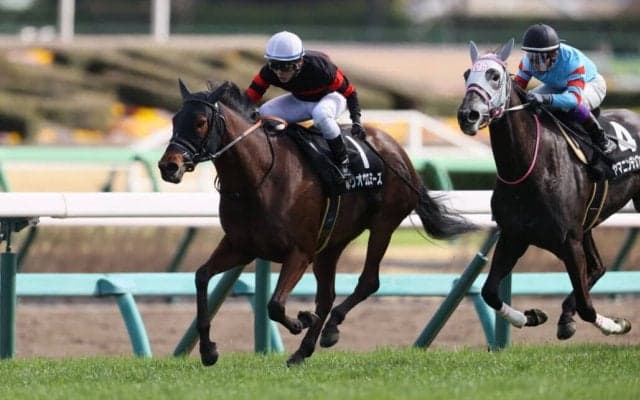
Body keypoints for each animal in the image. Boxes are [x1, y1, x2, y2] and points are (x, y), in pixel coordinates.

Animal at [158, 79, 476, 366]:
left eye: (200, 122)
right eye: (174, 119)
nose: (168, 166)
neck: (259, 177)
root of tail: (398, 151)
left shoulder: (299, 252)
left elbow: (274, 305)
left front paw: (301, 320)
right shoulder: (241, 246)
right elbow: (201, 277)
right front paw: (208, 350)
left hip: (383, 225)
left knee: (368, 281)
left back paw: (330, 327)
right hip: (331, 244)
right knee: (327, 295)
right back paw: (304, 349)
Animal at [457, 38, 637, 340]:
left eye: (494, 76)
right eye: (466, 74)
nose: (467, 115)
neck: (528, 167)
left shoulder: (569, 241)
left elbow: (587, 307)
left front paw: (616, 324)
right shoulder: (514, 236)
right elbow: (489, 292)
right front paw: (530, 316)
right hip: (587, 224)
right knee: (598, 266)